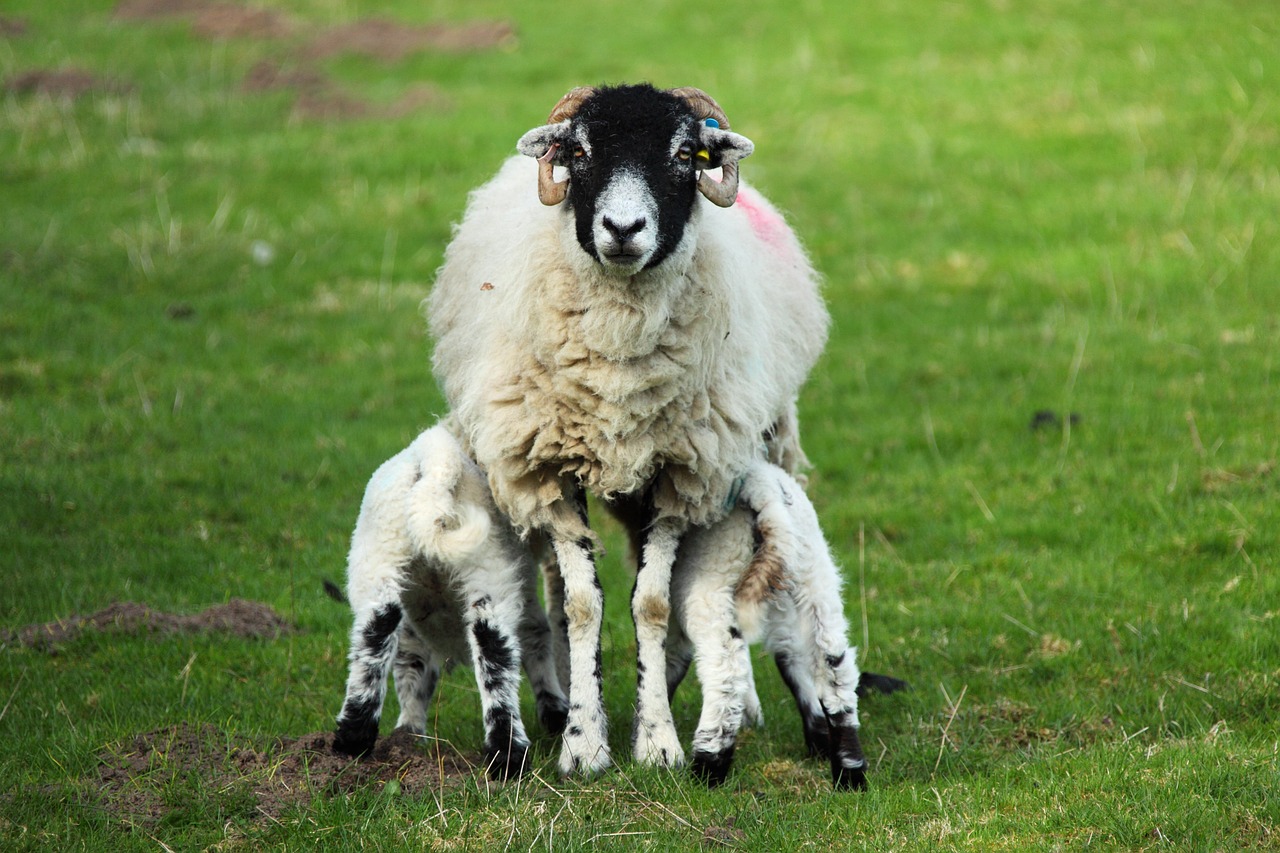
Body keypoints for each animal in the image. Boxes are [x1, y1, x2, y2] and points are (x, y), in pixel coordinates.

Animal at [332, 425, 568, 778]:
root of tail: (434, 459)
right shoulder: (526, 605)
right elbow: (538, 643)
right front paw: (556, 714)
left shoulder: (413, 631)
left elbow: (411, 672)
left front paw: (407, 736)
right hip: (488, 568)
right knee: (495, 655)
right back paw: (509, 756)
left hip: (379, 560)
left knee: (373, 639)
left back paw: (352, 741)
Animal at [430, 83, 829, 773]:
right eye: (578, 152)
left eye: (686, 154)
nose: (621, 229)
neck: (618, 348)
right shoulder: (548, 469)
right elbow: (583, 604)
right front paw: (585, 745)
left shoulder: (680, 474)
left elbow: (653, 602)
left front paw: (658, 739)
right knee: (558, 591)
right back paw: (563, 701)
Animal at [665, 458, 906, 783]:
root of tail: (763, 490)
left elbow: (668, 655)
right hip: (816, 581)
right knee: (833, 669)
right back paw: (849, 772)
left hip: (711, 579)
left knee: (725, 671)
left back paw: (708, 769)